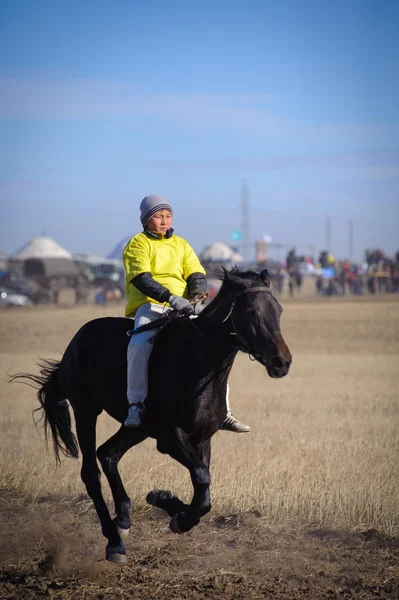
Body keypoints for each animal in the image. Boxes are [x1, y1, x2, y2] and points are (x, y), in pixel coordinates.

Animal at [12, 270, 292, 564]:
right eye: (251, 311)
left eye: (278, 310)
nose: (282, 362)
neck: (198, 360)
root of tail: (76, 342)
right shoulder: (169, 437)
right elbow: (202, 478)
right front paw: (176, 513)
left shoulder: (202, 438)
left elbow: (203, 493)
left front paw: (167, 502)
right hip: (86, 410)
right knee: (91, 472)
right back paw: (114, 541)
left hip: (137, 427)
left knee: (108, 453)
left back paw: (123, 516)